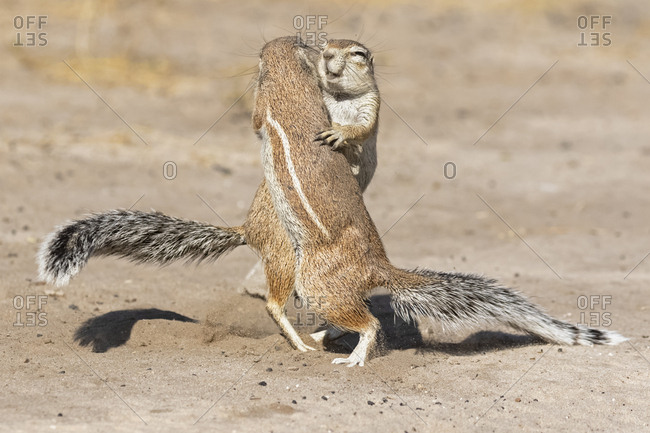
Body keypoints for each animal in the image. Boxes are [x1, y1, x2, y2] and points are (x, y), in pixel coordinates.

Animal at [37, 38, 380, 353]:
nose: (321, 49)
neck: (287, 76)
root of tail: (247, 230)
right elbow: (259, 122)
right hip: (285, 253)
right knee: (275, 302)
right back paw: (300, 343)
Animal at [254, 36, 626, 367]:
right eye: (323, 45)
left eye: (358, 53)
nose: (327, 55)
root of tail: (379, 264)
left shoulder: (360, 107)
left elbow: (349, 127)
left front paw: (341, 134)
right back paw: (320, 335)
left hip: (316, 282)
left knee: (369, 323)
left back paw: (352, 356)